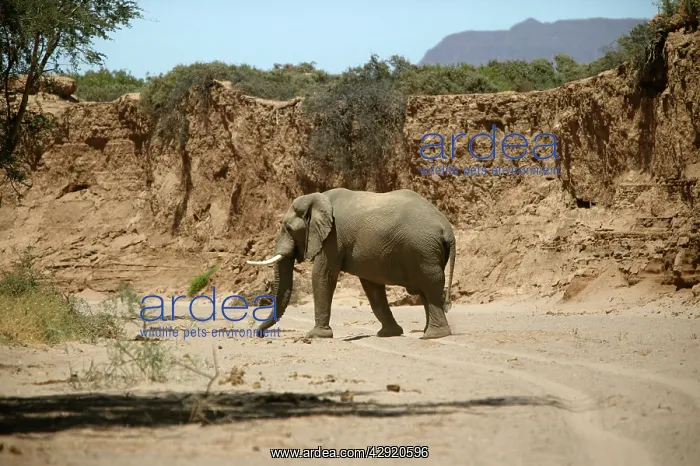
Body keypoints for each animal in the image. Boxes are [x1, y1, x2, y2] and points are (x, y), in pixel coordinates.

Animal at [247, 188, 456, 340]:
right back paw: (428, 332)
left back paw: (433, 335)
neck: (317, 198)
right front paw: (388, 334)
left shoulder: (333, 237)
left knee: (429, 285)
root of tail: (447, 229)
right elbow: (371, 286)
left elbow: (323, 275)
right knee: (424, 289)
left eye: (288, 228)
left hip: (422, 250)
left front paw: (316, 336)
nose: (259, 334)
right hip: (425, 250)